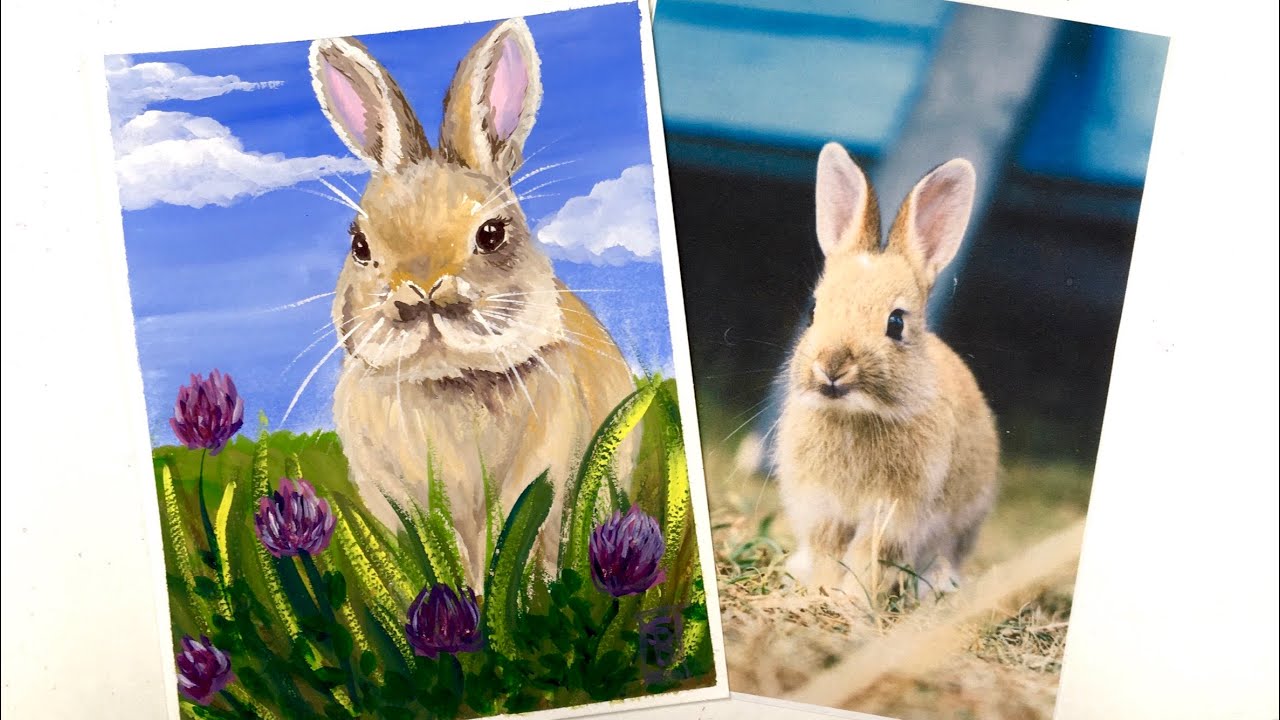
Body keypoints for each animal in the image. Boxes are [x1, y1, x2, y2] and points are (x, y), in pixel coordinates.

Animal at [308, 20, 636, 587]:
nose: (421, 292)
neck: (449, 380)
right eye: (360, 245)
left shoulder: (538, 473)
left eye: (491, 233)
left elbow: (505, 538)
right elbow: (437, 547)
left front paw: (500, 598)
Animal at [775, 142, 999, 600]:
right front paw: (821, 591)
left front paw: (851, 600)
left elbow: (869, 556)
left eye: (896, 323)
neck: (855, 415)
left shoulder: (895, 514)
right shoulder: (823, 508)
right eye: (813, 312)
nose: (832, 367)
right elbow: (828, 549)